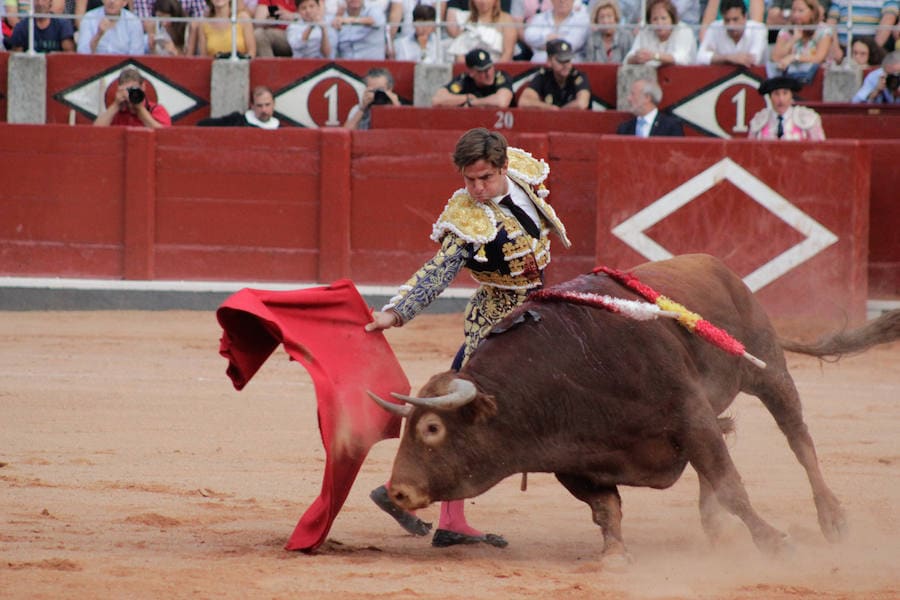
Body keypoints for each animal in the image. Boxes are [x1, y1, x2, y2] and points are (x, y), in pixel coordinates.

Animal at [368, 255, 900, 560]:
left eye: (432, 428)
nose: (397, 491)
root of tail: (718, 267)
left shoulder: (689, 415)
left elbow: (732, 486)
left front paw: (774, 541)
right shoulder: (574, 460)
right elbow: (607, 509)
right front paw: (614, 556)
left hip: (767, 369)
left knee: (799, 440)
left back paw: (832, 520)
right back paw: (714, 529)